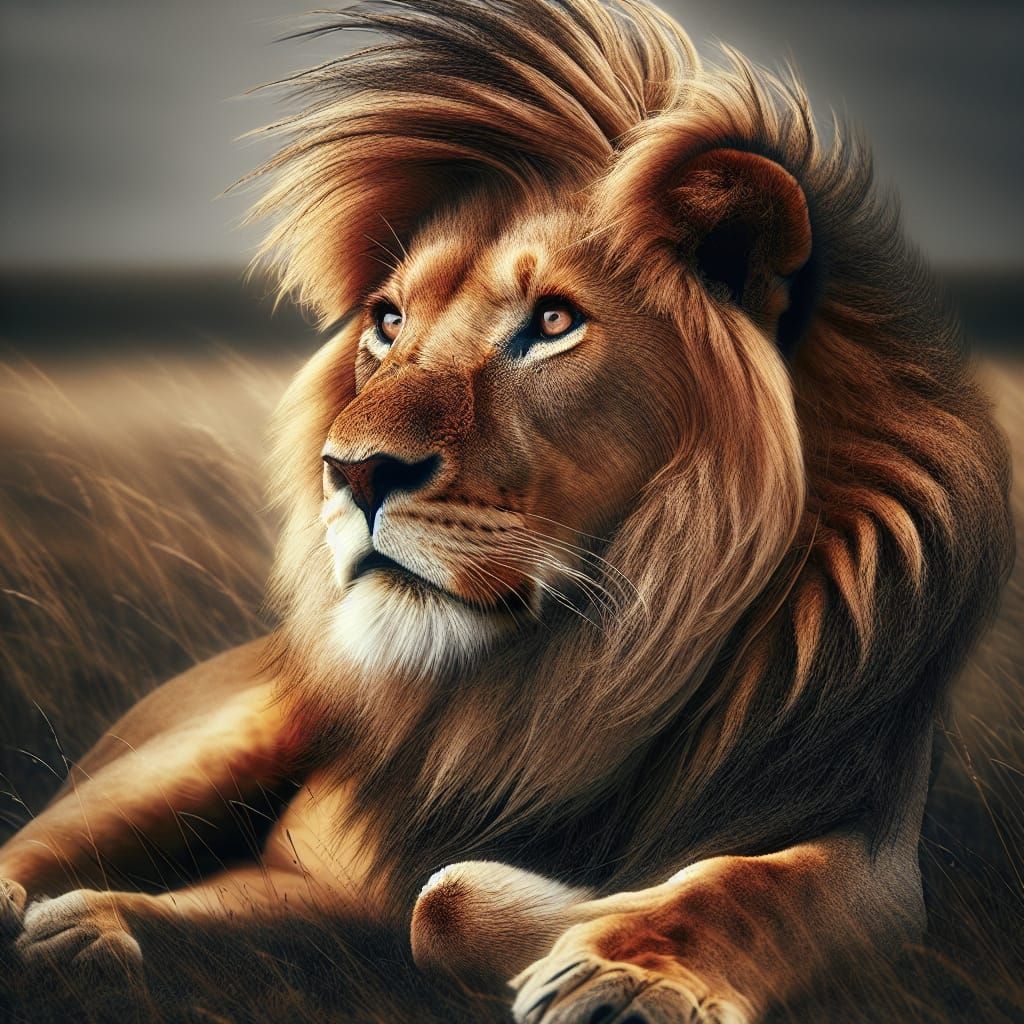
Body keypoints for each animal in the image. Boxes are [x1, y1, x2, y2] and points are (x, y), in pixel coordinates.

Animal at [0, 1, 1013, 1021]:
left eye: (554, 322)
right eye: (389, 322)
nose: (352, 473)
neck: (570, 676)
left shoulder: (878, 854)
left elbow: (730, 887)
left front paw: (622, 972)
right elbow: (429, 896)